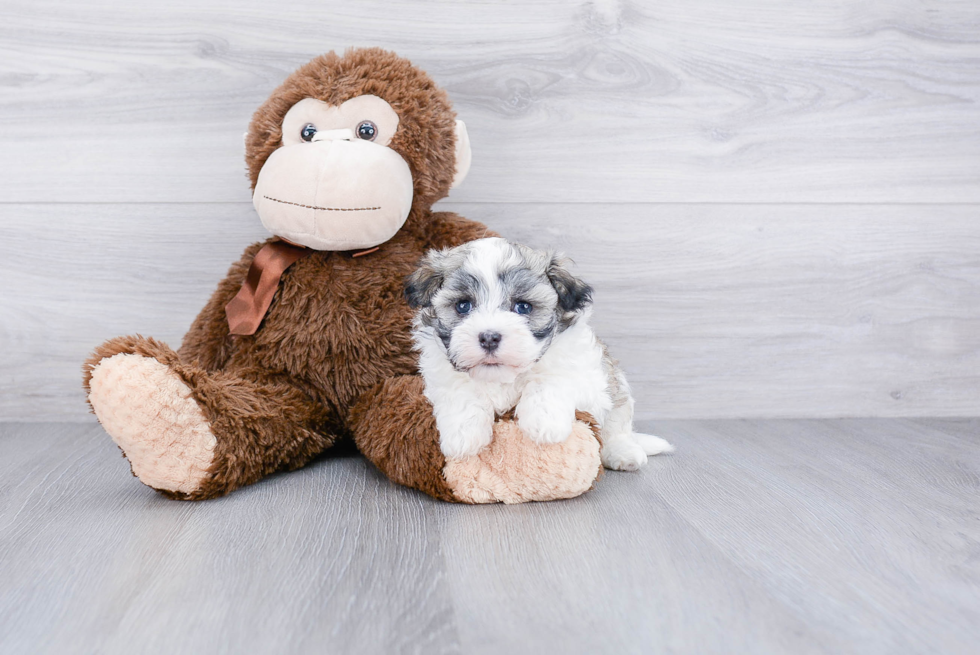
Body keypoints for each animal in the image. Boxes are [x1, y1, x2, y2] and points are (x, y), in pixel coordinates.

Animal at [406, 238, 672, 468]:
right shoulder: (440, 372)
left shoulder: (587, 373)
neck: (504, 377)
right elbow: (460, 389)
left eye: (523, 307)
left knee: (617, 425)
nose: (489, 337)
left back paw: (622, 452)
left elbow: (550, 379)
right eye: (463, 305)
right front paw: (463, 437)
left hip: (616, 387)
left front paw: (544, 423)